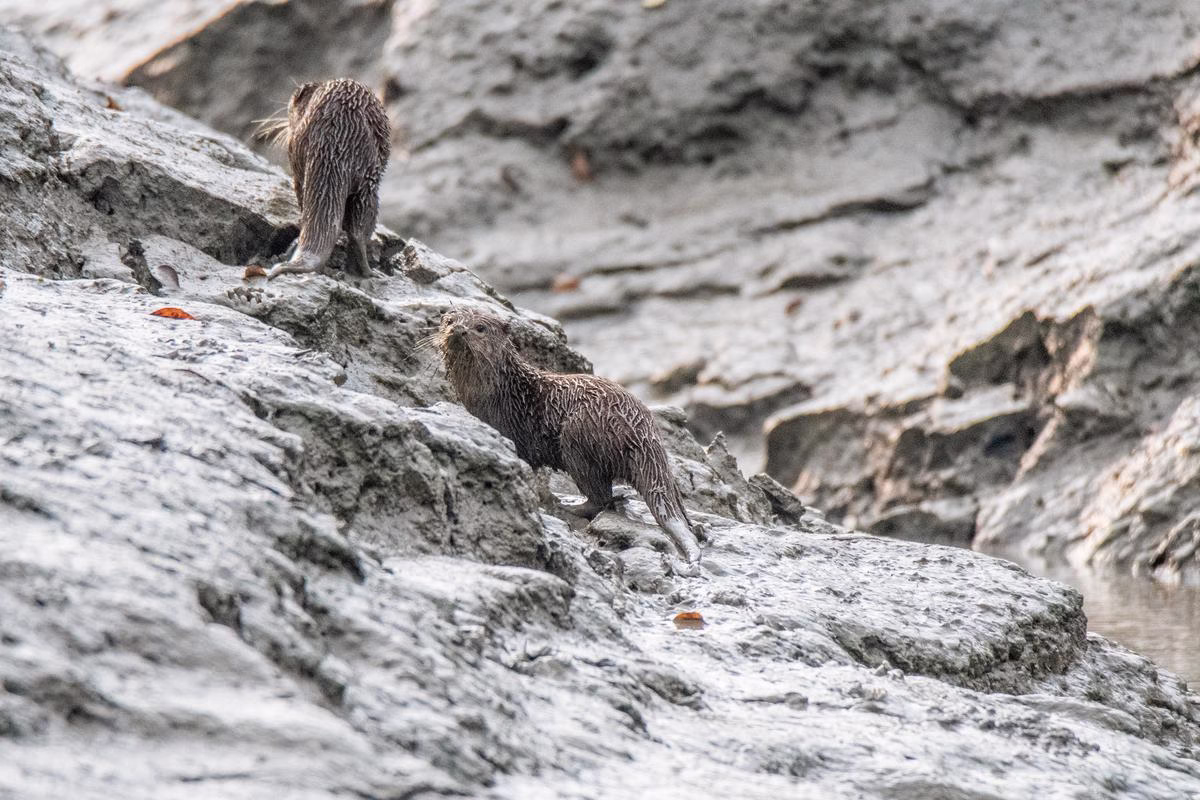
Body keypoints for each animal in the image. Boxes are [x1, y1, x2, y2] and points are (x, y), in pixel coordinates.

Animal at [439, 309, 702, 566]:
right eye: (450, 320)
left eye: (480, 328)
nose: (459, 330)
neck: (504, 393)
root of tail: (643, 435)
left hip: (578, 437)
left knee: (599, 495)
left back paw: (569, 505)